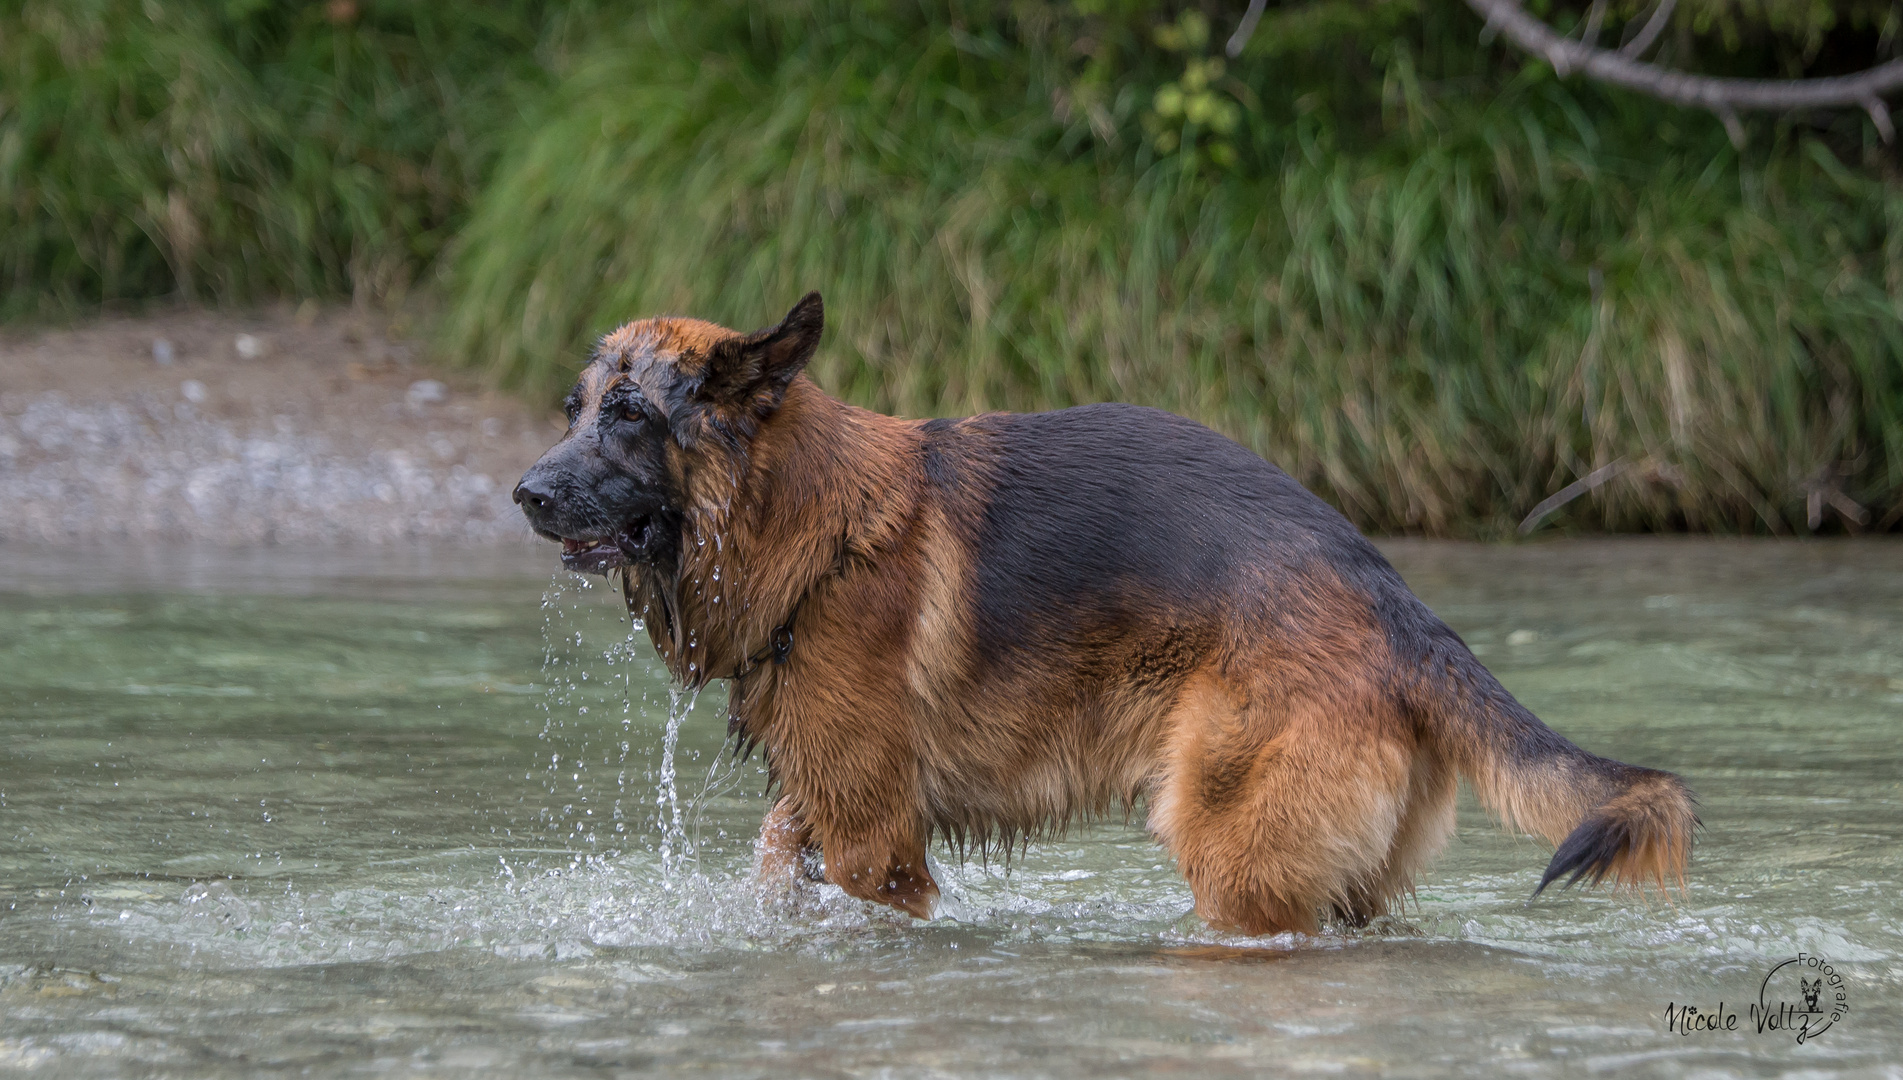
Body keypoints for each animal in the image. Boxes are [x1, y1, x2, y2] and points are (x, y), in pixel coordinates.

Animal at [513, 294, 1705, 935]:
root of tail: (1391, 599)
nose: (524, 493)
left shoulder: (873, 848)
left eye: (630, 416)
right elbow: (772, 870)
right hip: (1341, 882)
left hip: (1235, 864)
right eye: (575, 410)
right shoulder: (818, 815)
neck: (815, 524)